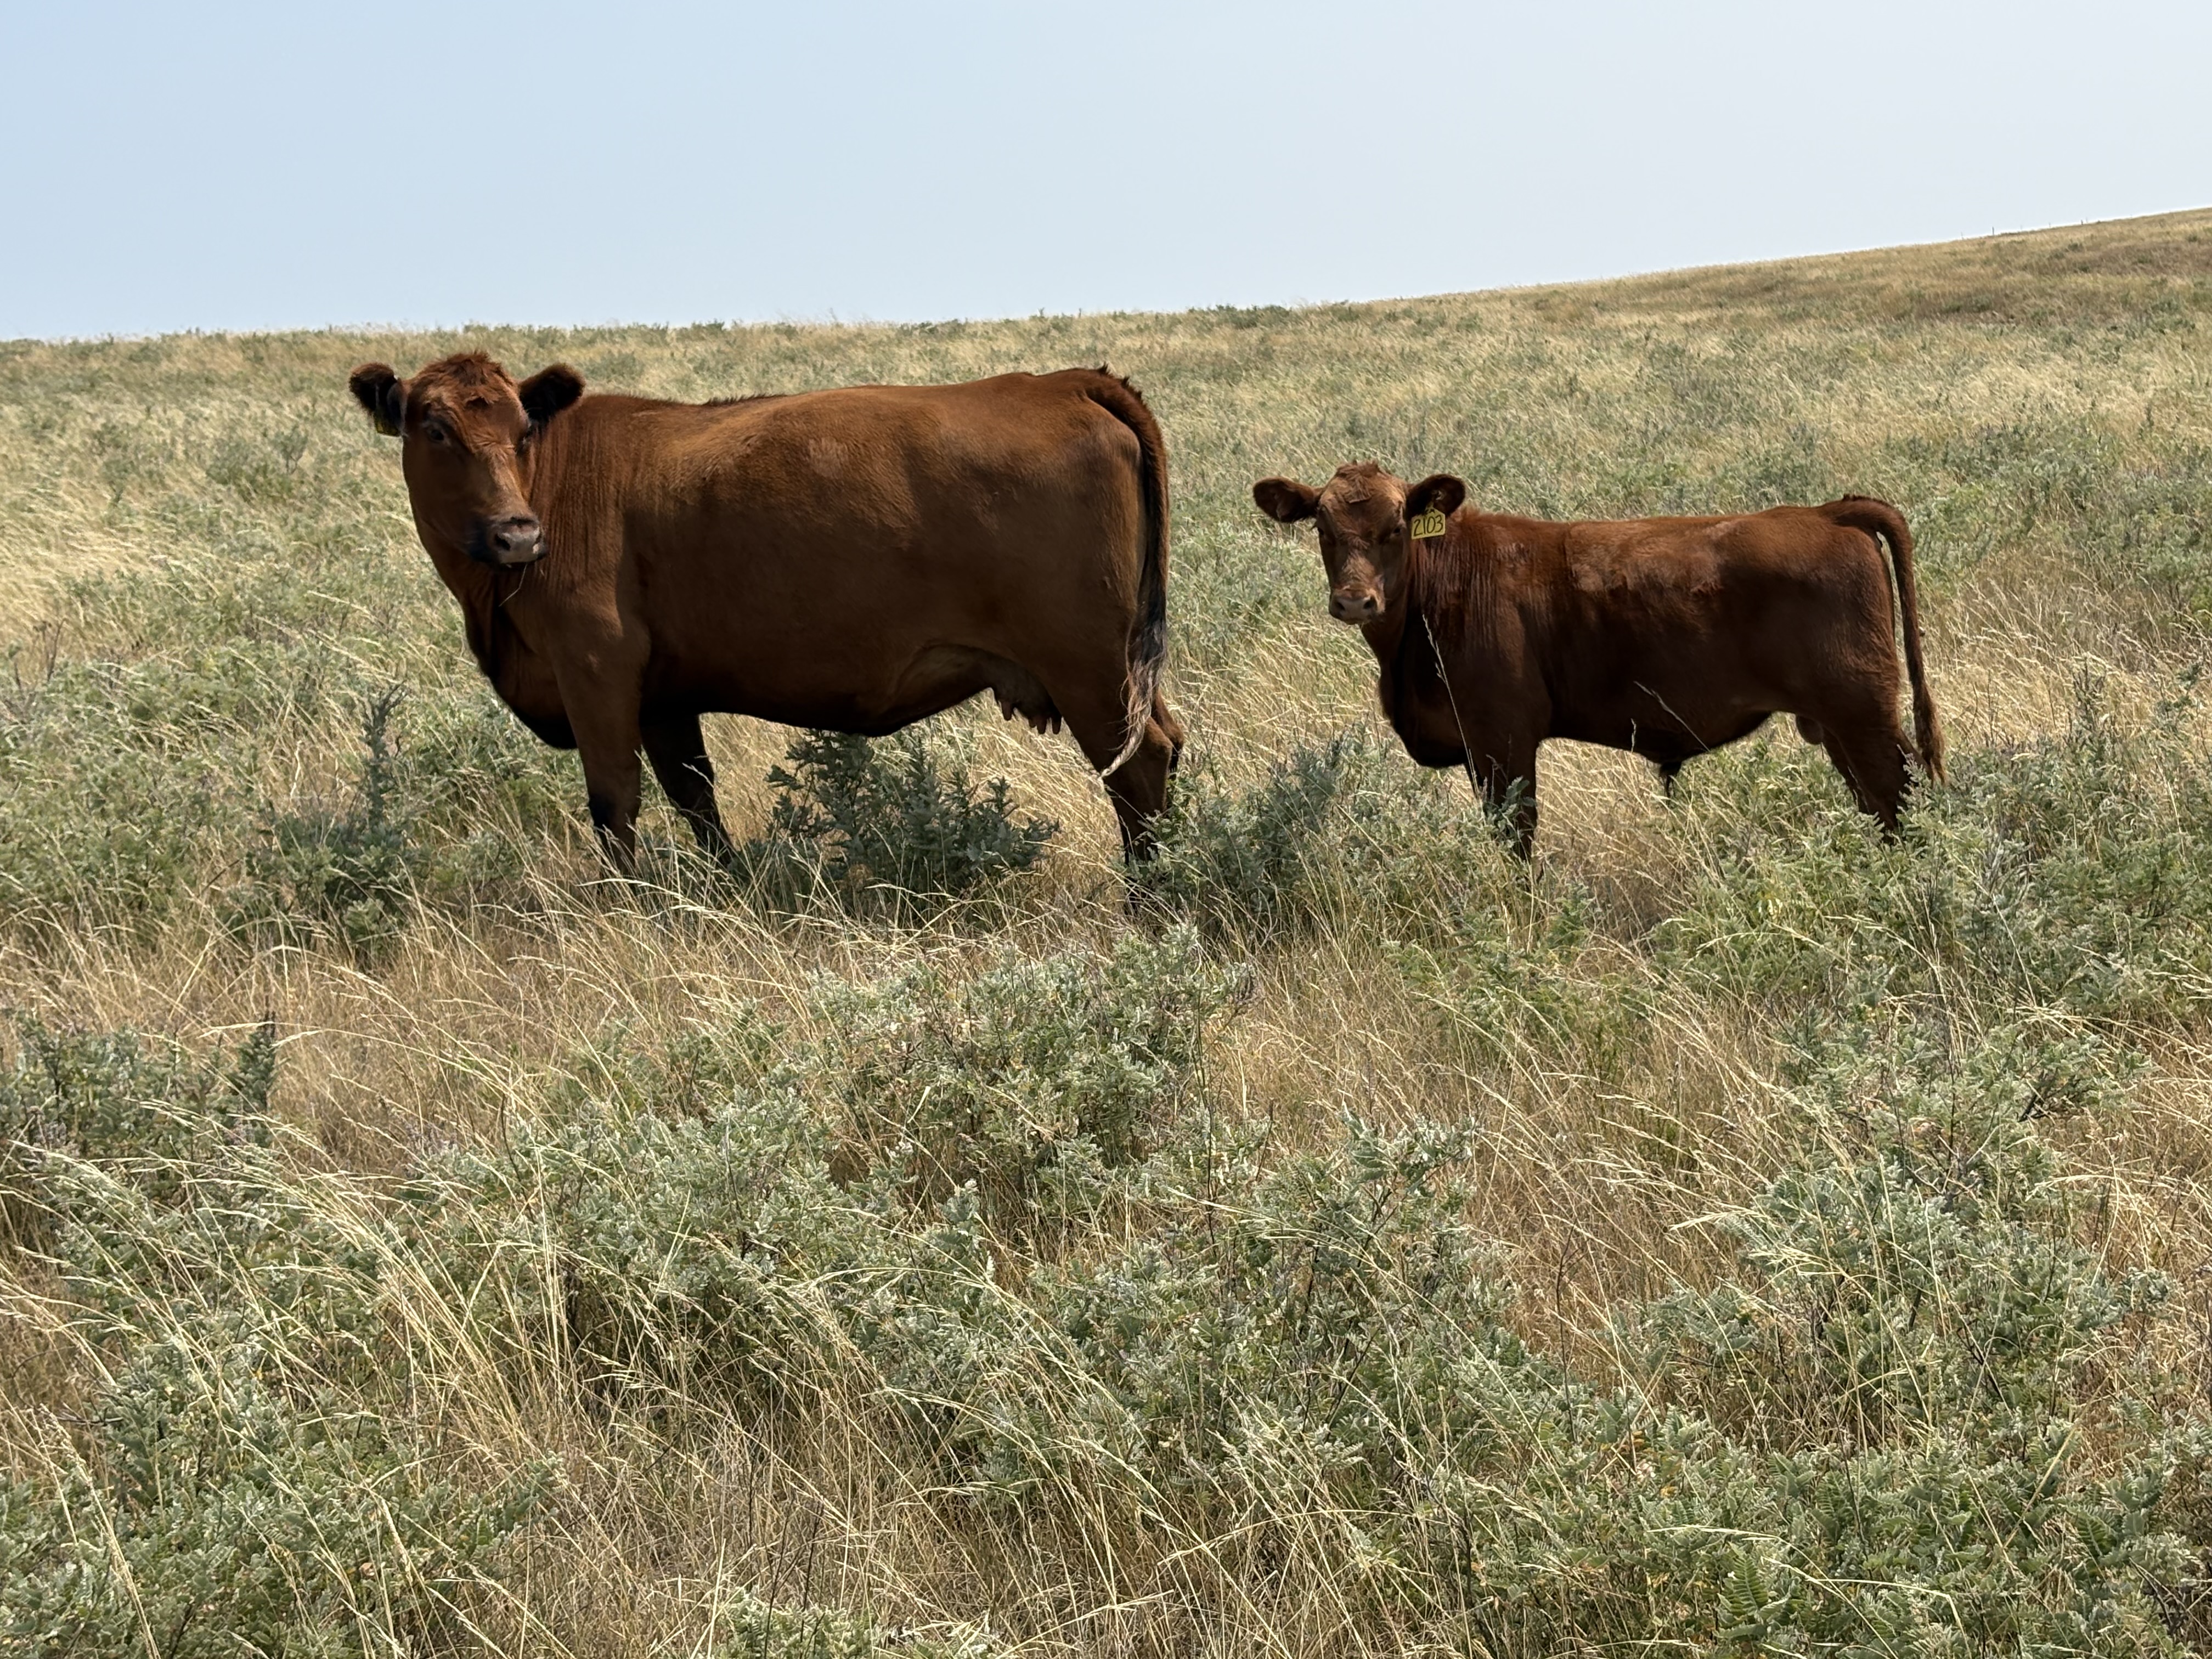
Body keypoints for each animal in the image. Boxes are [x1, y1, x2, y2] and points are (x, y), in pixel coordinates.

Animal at [347, 353, 1182, 871]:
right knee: (1167, 745)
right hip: (1120, 665)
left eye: (523, 430)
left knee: (1136, 764)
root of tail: (1062, 382)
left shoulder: (595, 668)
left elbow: (614, 799)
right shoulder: (664, 697)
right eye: (435, 429)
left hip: (1085, 666)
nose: (517, 534)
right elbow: (695, 798)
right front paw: (726, 887)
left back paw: (1146, 899)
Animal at [1252, 463, 1943, 854]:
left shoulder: (1502, 738)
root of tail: (1827, 512)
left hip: (1861, 714)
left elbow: (1517, 838)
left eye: (1397, 527)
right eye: (1323, 529)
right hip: (1838, 725)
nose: (1354, 601)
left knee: (1897, 800)